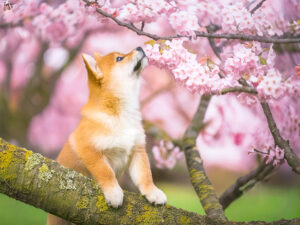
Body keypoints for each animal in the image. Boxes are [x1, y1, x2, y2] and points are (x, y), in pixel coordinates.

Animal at [48, 46, 168, 224]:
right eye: (119, 58)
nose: (140, 47)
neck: (120, 113)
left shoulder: (137, 152)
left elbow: (145, 175)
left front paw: (153, 192)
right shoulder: (90, 151)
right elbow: (106, 172)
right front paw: (114, 193)